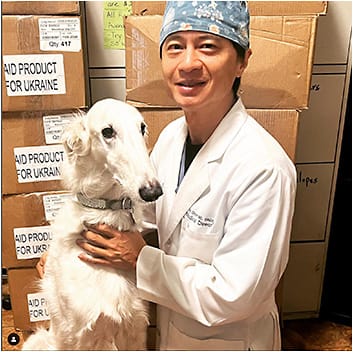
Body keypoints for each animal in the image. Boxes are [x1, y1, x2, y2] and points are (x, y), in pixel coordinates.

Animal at [22, 97, 163, 350]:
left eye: (142, 127)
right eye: (107, 131)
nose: (153, 191)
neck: (104, 212)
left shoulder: (136, 328)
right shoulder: (82, 334)